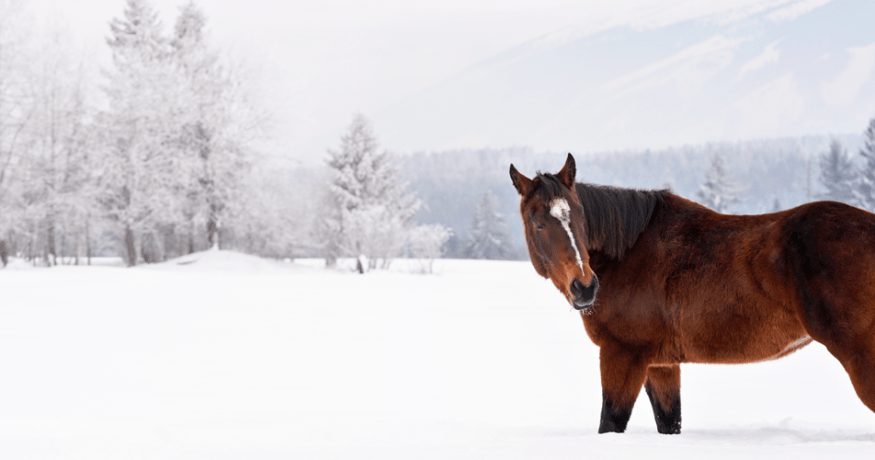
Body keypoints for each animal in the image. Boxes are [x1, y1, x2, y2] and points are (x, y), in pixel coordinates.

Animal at [509, 153, 875, 434]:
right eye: (538, 223)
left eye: (580, 216)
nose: (584, 286)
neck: (630, 252)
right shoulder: (660, 364)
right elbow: (669, 422)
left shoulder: (622, 354)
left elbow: (610, 423)